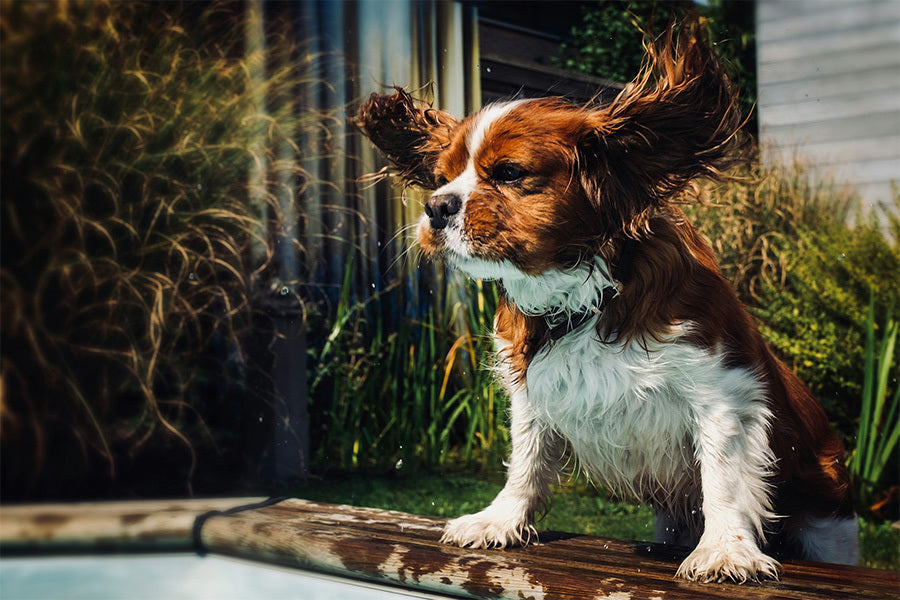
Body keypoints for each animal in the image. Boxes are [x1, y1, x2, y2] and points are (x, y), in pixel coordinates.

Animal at [354, 17, 856, 580]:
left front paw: (726, 549)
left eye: (508, 173)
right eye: (440, 180)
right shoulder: (532, 397)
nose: (437, 206)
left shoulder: (723, 393)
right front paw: (501, 520)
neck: (581, 294)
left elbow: (724, 477)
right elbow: (525, 462)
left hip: (831, 528)